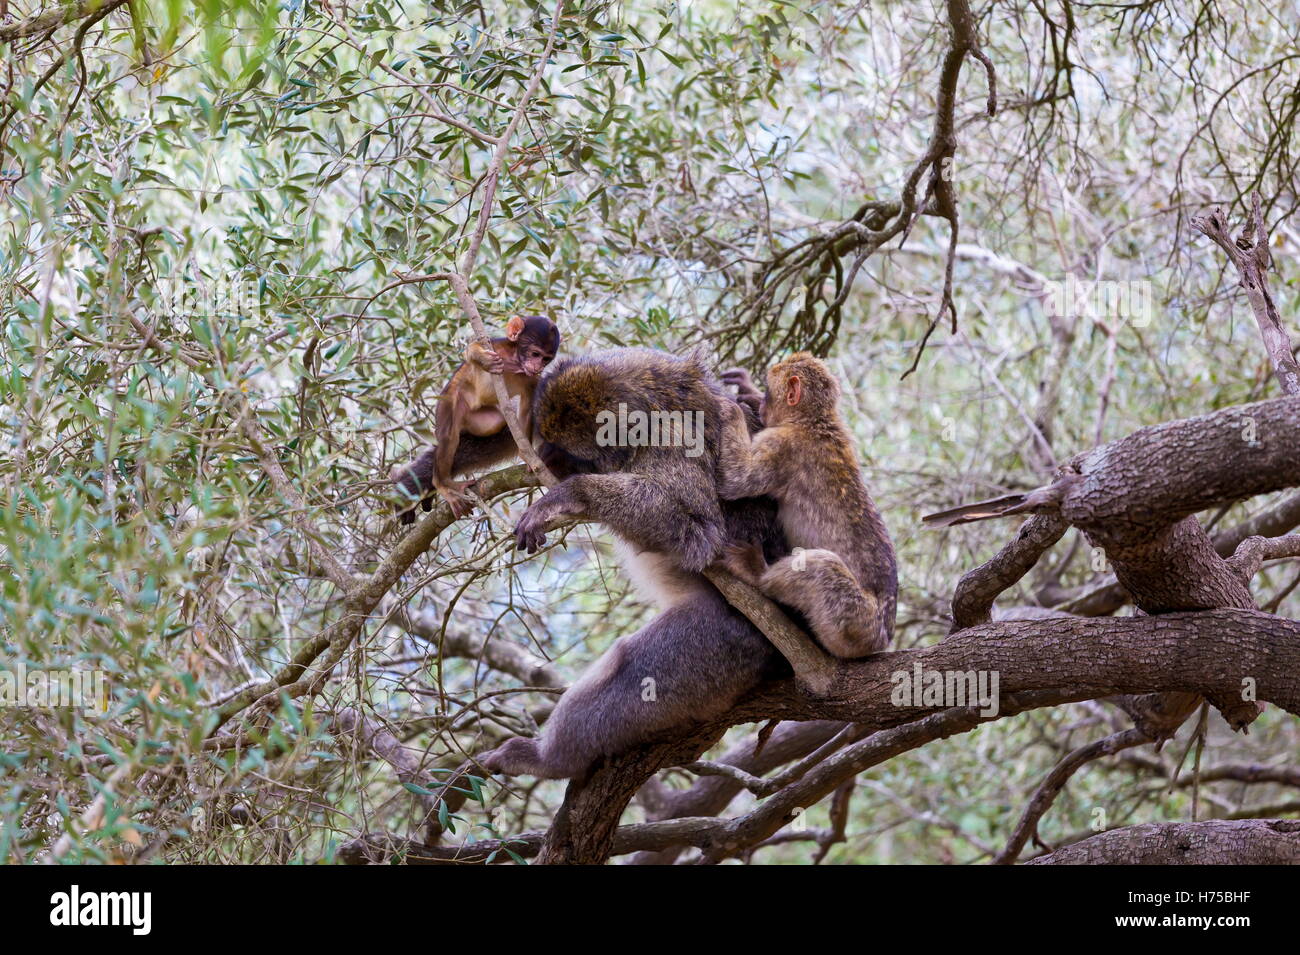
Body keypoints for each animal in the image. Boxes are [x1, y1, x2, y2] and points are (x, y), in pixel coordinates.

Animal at [390, 315, 560, 523]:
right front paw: (483, 360)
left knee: (495, 421)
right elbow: (472, 347)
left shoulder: (532, 379)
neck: (514, 361)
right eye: (535, 354)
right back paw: (441, 484)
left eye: (545, 359)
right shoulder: (496, 346)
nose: (537, 366)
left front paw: (526, 455)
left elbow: (528, 409)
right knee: (449, 437)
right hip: (451, 403)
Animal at [478, 348, 791, 780]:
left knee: (630, 670)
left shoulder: (672, 439)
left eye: (572, 453)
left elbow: (696, 529)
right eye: (549, 441)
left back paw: (549, 760)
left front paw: (567, 495)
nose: (546, 458)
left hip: (722, 643)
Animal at [712, 354, 897, 658]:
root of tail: (882, 640)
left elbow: (736, 481)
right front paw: (748, 391)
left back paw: (757, 574)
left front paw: (730, 409)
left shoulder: (781, 445)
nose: (762, 404)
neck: (813, 420)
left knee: (822, 566)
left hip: (854, 623)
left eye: (770, 391)